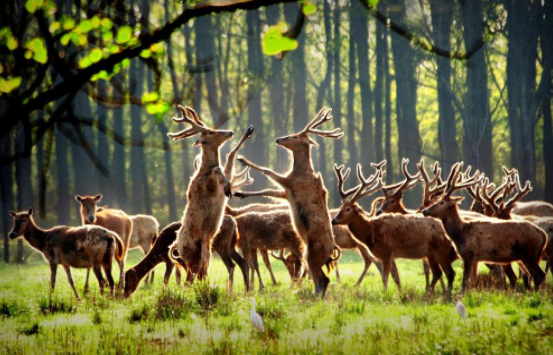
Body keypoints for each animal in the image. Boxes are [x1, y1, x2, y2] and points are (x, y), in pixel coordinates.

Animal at [164, 104, 233, 282]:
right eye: (211, 132)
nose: (230, 132)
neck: (204, 169)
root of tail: (176, 246)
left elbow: (221, 170)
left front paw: (229, 187)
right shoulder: (205, 184)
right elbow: (217, 169)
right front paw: (228, 188)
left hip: (203, 252)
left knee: (199, 275)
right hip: (193, 252)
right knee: (189, 280)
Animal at [234, 108, 344, 298]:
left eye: (294, 136)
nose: (278, 139)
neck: (299, 171)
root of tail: (332, 251)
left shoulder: (289, 183)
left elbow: (267, 171)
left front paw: (242, 159)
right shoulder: (286, 192)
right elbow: (267, 191)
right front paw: (240, 193)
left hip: (311, 254)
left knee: (322, 279)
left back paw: (311, 295)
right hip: (311, 255)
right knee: (323, 279)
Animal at [330, 164, 454, 298]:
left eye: (348, 209)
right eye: (341, 207)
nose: (333, 220)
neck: (371, 232)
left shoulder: (386, 251)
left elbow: (385, 278)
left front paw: (385, 295)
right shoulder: (391, 254)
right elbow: (396, 277)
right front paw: (400, 293)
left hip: (439, 250)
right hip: (431, 253)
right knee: (439, 272)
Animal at [420, 163, 544, 294]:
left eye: (442, 202)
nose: (425, 210)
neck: (460, 234)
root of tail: (542, 234)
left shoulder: (469, 254)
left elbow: (465, 282)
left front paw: (463, 295)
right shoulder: (474, 258)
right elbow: (470, 280)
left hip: (529, 253)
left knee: (538, 275)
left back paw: (536, 295)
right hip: (532, 256)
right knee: (531, 276)